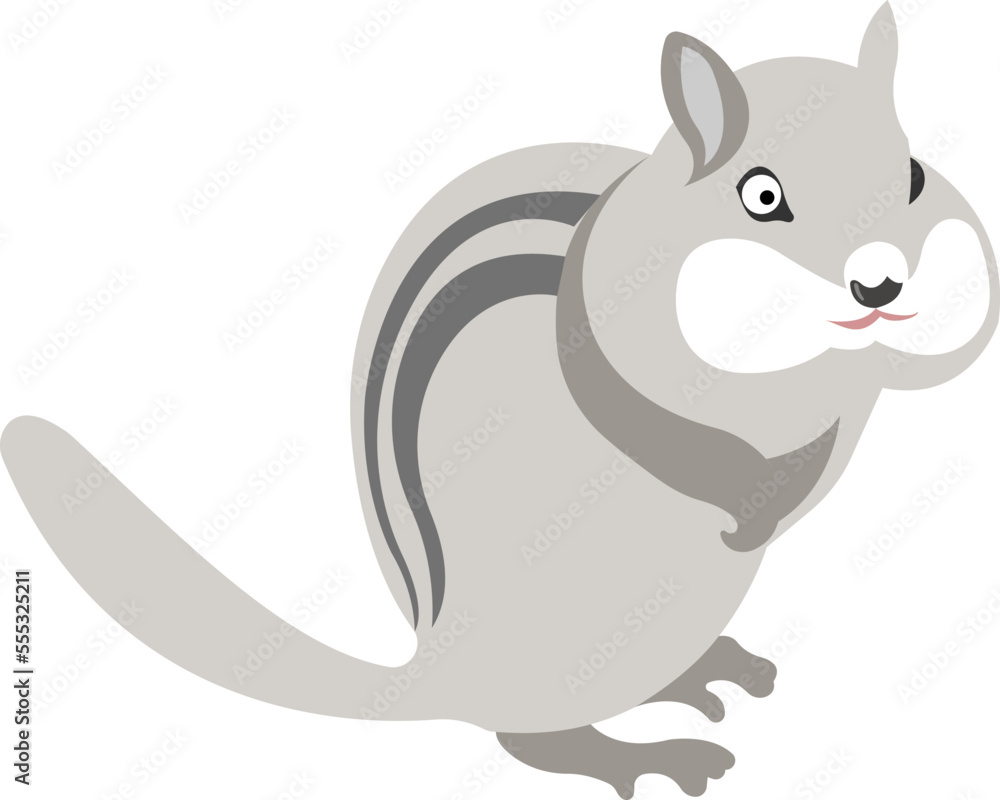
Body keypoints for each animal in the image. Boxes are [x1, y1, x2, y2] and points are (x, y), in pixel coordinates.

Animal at [2, 3, 995, 797]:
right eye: (763, 196)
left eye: (912, 173)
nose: (878, 284)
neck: (804, 374)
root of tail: (437, 668)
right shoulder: (607, 363)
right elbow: (655, 433)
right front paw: (738, 498)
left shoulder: (848, 411)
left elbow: (822, 465)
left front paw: (780, 496)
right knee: (531, 743)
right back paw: (641, 755)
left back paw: (700, 672)